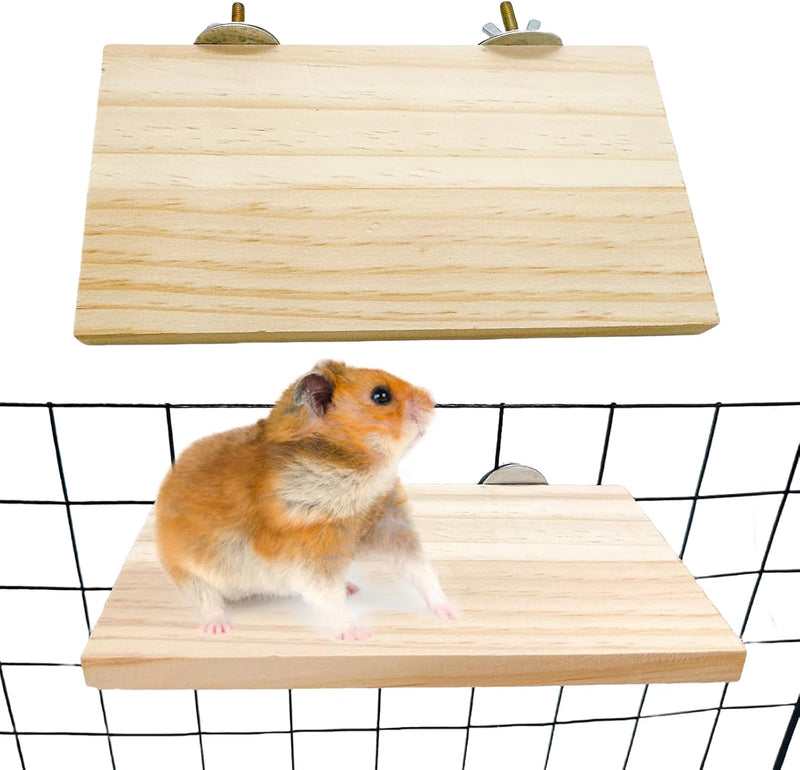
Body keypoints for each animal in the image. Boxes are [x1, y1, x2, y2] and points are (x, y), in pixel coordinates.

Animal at [155, 360, 456, 641]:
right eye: (381, 395)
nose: (432, 401)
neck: (360, 475)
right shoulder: (310, 554)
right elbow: (328, 598)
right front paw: (358, 635)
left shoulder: (391, 524)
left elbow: (421, 571)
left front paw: (451, 613)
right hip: (187, 570)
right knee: (206, 599)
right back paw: (219, 627)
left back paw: (351, 587)